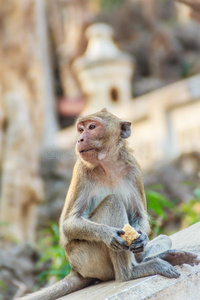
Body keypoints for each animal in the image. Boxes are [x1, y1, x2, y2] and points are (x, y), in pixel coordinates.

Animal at [20, 109, 200, 298]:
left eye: (92, 127)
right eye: (81, 129)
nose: (80, 139)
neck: (108, 165)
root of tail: (76, 270)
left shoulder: (134, 168)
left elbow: (139, 215)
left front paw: (142, 236)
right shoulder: (81, 170)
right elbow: (68, 224)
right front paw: (108, 234)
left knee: (164, 239)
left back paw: (167, 256)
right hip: (86, 258)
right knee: (113, 201)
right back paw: (130, 273)